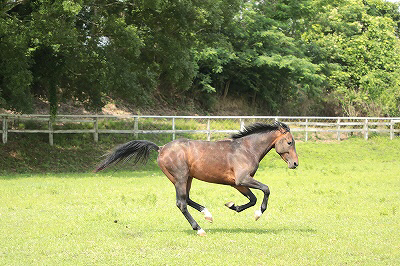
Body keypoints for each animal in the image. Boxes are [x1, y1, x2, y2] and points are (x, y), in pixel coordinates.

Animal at [95, 120, 298, 235]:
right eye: (289, 142)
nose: (295, 164)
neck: (246, 149)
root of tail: (160, 148)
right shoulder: (242, 179)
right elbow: (266, 190)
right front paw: (257, 215)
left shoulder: (237, 184)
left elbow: (252, 198)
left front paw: (232, 206)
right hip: (181, 177)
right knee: (181, 203)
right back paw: (199, 229)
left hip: (187, 178)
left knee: (187, 199)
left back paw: (207, 214)